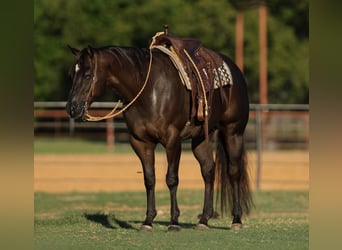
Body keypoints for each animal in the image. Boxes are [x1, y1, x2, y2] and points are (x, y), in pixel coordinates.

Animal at [67, 44, 252, 231]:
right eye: (72, 74)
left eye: (88, 75)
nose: (72, 108)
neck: (148, 91)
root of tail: (235, 69)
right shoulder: (141, 142)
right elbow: (149, 179)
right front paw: (148, 221)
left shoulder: (172, 140)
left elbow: (171, 179)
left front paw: (174, 222)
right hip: (201, 139)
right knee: (208, 170)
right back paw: (203, 220)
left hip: (233, 132)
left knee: (234, 172)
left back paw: (236, 220)